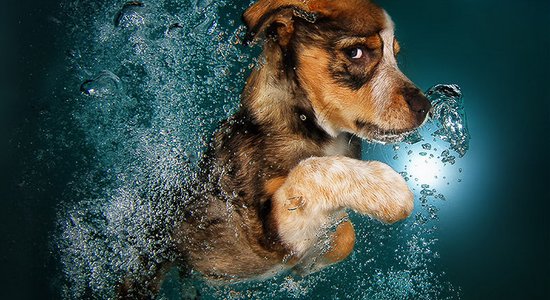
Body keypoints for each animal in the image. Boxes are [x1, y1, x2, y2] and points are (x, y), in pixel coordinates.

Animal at [118, 0, 434, 296]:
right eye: (356, 53)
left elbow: (345, 233)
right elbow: (310, 169)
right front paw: (385, 189)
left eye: (395, 55)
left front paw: (311, 262)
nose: (425, 107)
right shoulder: (267, 236)